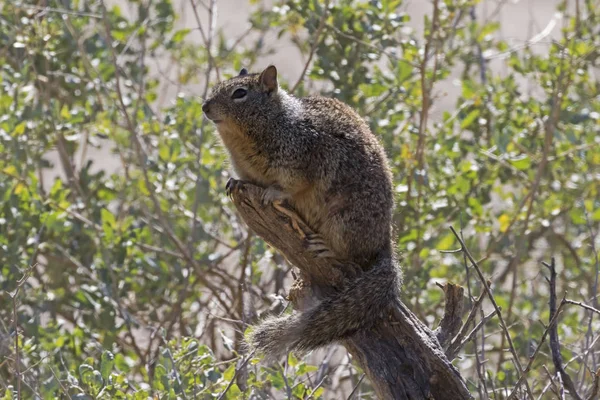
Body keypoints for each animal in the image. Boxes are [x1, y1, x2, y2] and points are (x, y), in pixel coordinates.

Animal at [203, 66, 404, 362]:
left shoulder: (300, 160)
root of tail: (384, 241)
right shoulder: (248, 169)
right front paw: (234, 183)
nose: (204, 107)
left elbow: (289, 186)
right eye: (219, 86)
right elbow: (245, 180)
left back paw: (325, 246)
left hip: (344, 222)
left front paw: (272, 194)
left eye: (240, 93)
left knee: (353, 257)